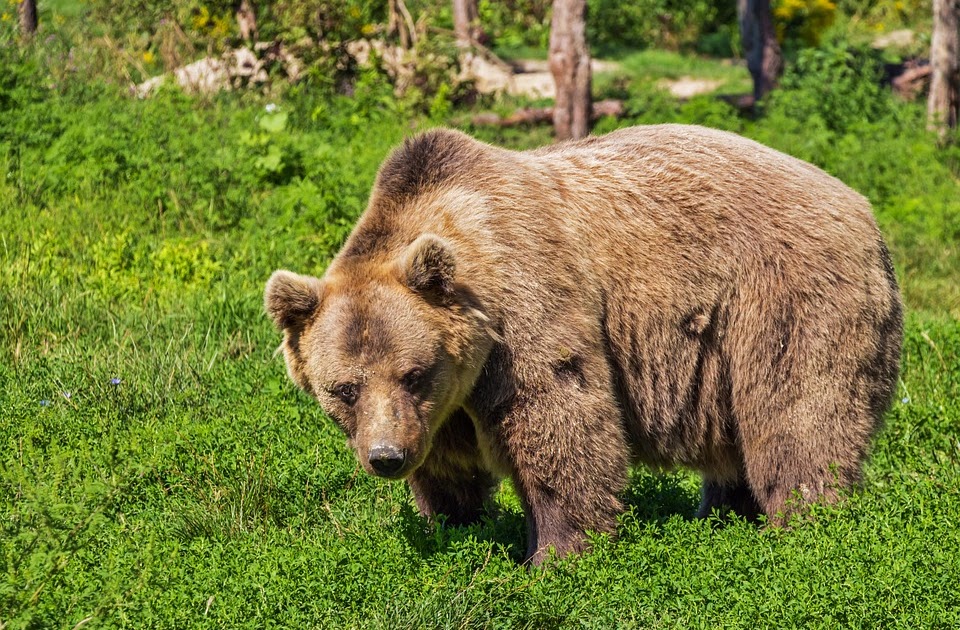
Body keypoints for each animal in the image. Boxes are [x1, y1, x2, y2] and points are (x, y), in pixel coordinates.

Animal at [265, 124, 903, 565]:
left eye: (413, 372)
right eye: (344, 389)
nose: (386, 457)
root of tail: (864, 208)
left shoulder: (525, 308)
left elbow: (560, 421)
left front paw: (555, 554)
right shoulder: (444, 404)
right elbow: (448, 466)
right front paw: (455, 524)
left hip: (783, 299)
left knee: (798, 416)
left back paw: (804, 524)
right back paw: (722, 515)